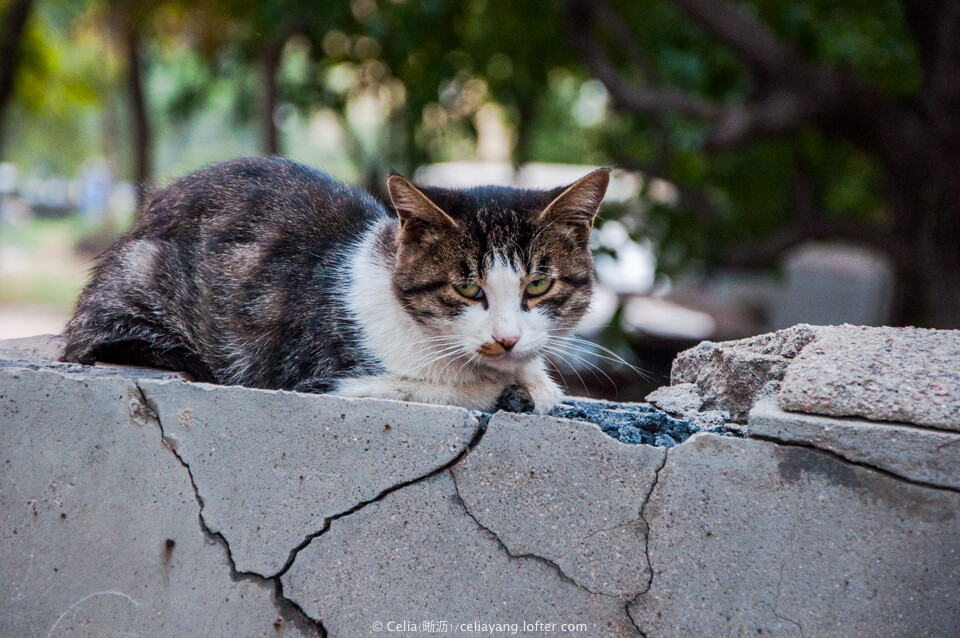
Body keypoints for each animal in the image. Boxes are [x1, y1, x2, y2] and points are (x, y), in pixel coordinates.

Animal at [62, 158, 608, 412]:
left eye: (538, 286)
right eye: (468, 290)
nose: (506, 338)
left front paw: (534, 382)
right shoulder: (312, 376)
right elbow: (440, 390)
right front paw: (505, 388)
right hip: (137, 281)